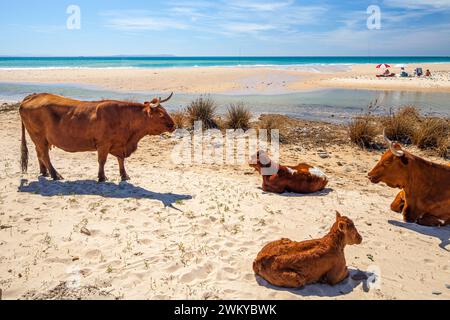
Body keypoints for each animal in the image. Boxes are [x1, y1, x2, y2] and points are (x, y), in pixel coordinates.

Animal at [19, 92, 175, 182]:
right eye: (161, 114)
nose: (173, 125)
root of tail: (33, 96)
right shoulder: (103, 144)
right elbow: (102, 161)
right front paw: (101, 177)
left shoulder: (119, 143)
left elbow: (120, 160)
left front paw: (124, 175)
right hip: (39, 137)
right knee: (44, 155)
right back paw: (55, 175)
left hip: (39, 139)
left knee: (39, 154)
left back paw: (44, 172)